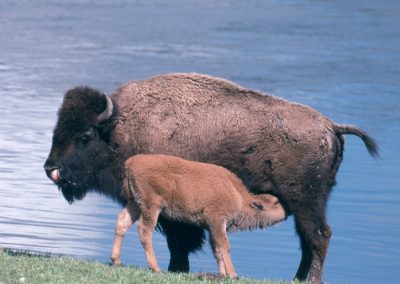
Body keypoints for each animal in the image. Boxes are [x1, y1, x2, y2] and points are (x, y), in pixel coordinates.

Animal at [110, 154, 284, 276]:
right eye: (275, 203)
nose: (286, 212)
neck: (239, 196)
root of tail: (131, 162)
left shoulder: (213, 228)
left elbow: (217, 250)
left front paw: (223, 274)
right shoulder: (217, 221)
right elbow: (224, 246)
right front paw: (233, 274)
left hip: (134, 203)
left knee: (122, 223)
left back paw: (116, 260)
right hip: (151, 207)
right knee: (145, 230)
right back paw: (155, 267)